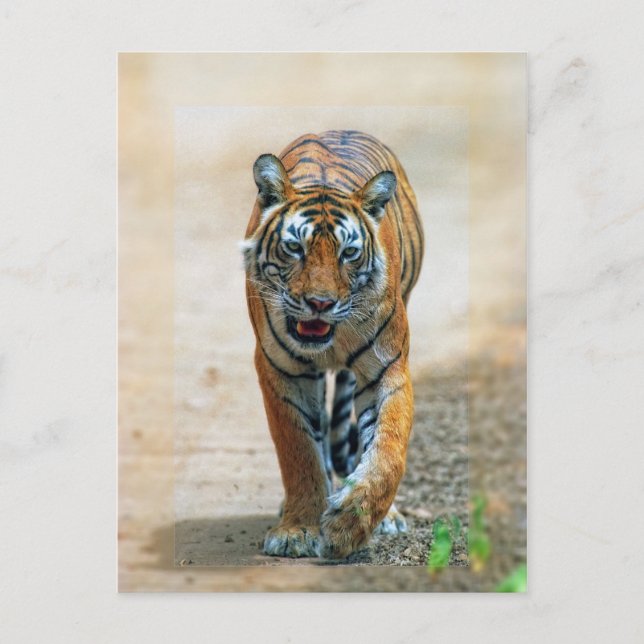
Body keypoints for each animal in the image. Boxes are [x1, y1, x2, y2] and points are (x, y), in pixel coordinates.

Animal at [242, 130, 424, 559]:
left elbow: (388, 448)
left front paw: (350, 525)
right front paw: (297, 530)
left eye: (349, 253)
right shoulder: (281, 371)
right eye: (295, 248)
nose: (320, 303)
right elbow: (300, 451)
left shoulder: (388, 368)